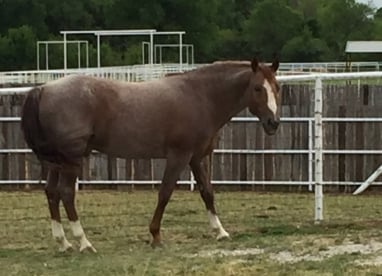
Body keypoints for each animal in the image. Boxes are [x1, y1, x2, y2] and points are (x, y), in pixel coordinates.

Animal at [20, 58, 282, 252]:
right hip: (72, 160)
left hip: (57, 162)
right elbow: (165, 193)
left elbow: (207, 192)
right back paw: (84, 243)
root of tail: (44, 88)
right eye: (258, 88)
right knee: (66, 194)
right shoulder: (178, 156)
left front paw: (220, 232)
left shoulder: (196, 158)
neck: (201, 97)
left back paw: (63, 243)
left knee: (51, 193)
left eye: (277, 88)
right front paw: (155, 235)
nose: (274, 123)